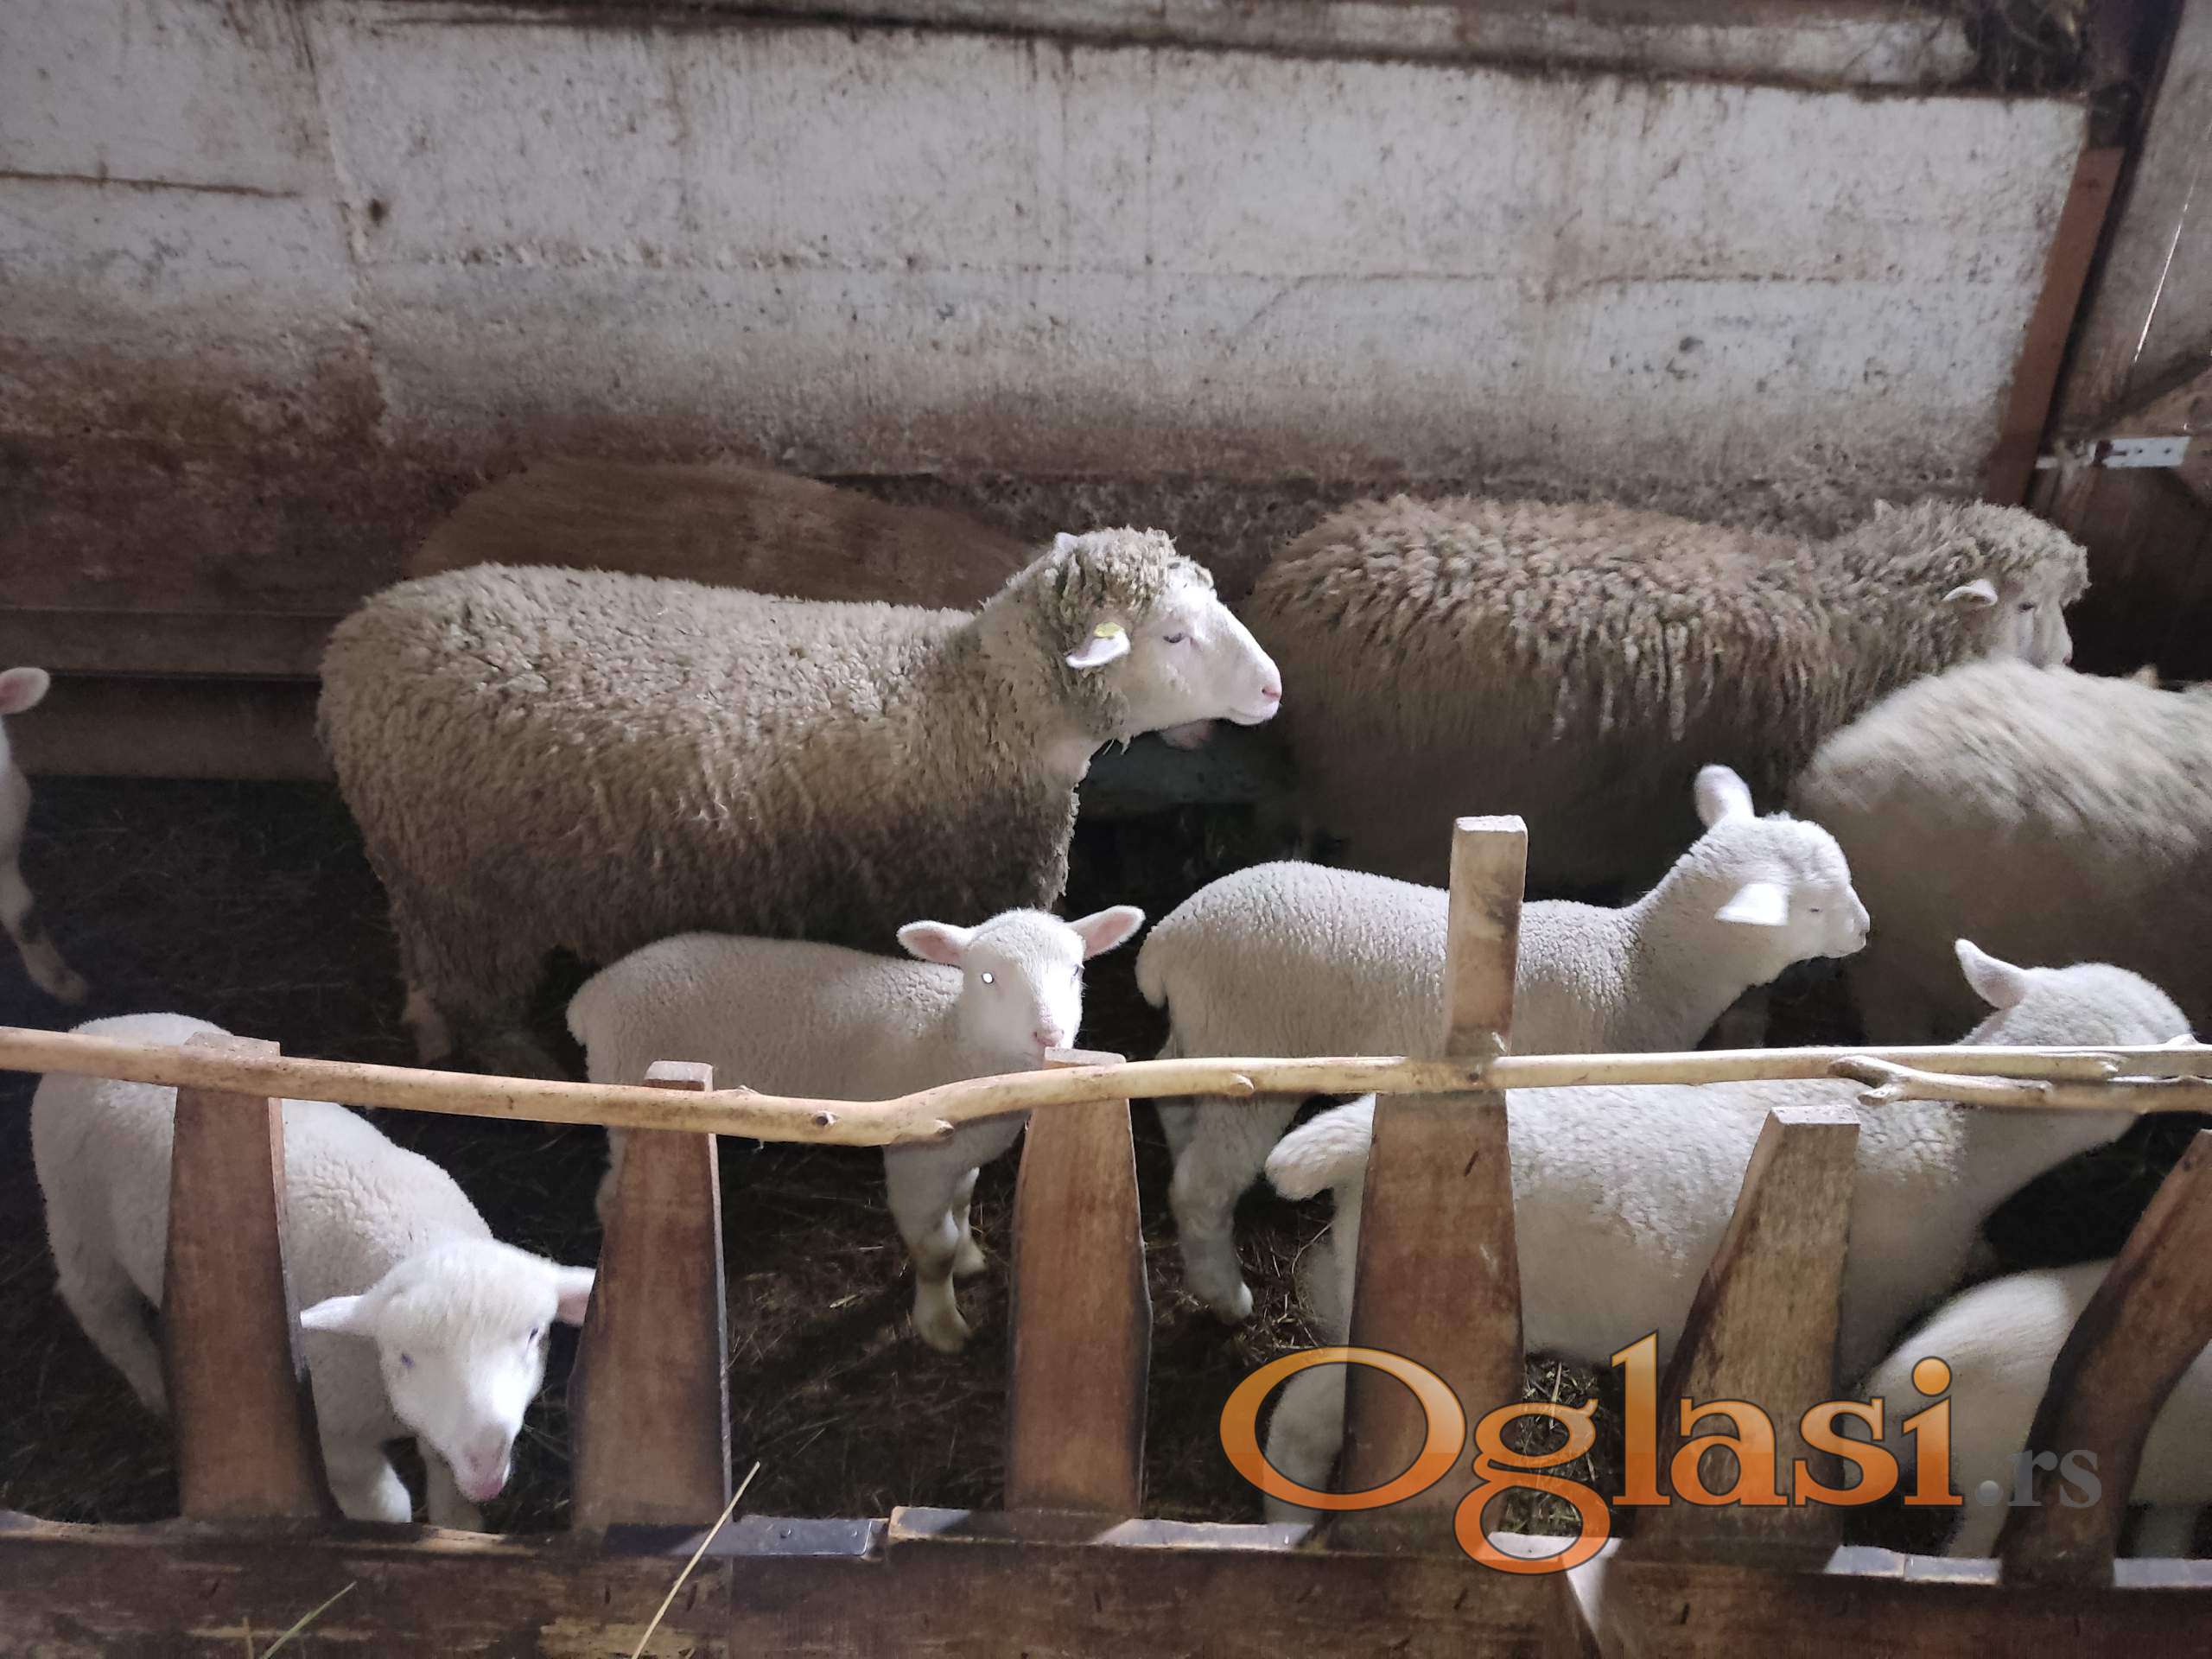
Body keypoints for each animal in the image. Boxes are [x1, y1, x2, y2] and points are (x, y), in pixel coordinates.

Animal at [30, 1013, 596, 1530]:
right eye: (405, 1356)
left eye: (535, 1335)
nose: (485, 1455)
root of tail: (92, 1028)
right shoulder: (334, 1438)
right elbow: (387, 1506)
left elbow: (446, 1481)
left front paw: (459, 1524)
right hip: (77, 1217)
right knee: (98, 1307)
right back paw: (152, 1385)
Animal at [320, 528, 1279, 1076]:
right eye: (1174, 634)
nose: (1273, 690)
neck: (969, 704)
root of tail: (351, 642)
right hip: (467, 884)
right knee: (480, 1001)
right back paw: (524, 1068)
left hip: (421, 875)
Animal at [567, 904, 1145, 1354]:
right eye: (987, 978)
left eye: (1076, 970)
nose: (1050, 1034)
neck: (953, 1036)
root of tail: (591, 995)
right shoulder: (917, 1160)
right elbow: (933, 1248)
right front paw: (941, 1322)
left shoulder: (960, 1154)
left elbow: (963, 1204)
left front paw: (969, 1258)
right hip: (630, 1086)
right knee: (611, 1190)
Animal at [1137, 764, 1869, 1321]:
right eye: (1811, 906)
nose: (1864, 930)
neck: (1636, 969)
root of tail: (1166, 938)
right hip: (1252, 1044)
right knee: (1201, 1185)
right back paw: (1226, 1296)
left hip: (1204, 1034)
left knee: (1172, 1101)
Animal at [1256, 943, 2194, 1522]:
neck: (1954, 1135)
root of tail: (1347, 1138)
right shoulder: (1865, 1311)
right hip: (1411, 1309)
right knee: (1305, 1418)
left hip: (1346, 1276)